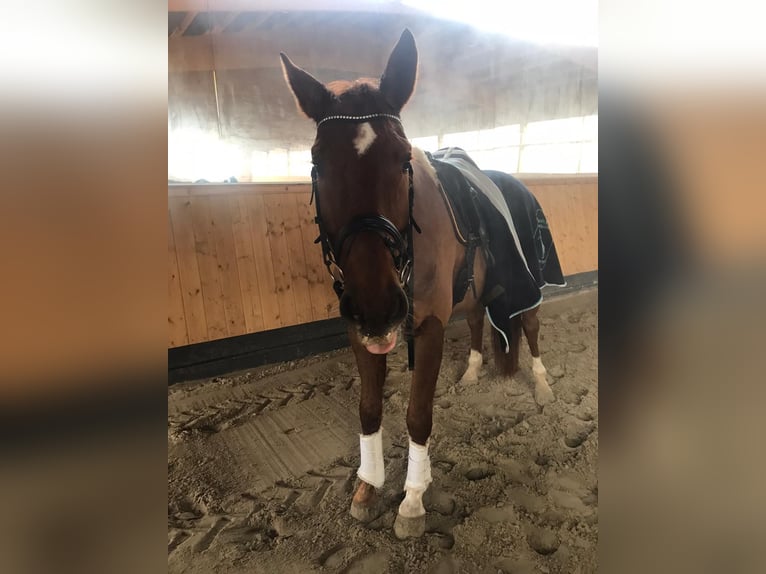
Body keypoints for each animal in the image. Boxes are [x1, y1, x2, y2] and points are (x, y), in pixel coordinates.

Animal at [280, 29, 558, 539]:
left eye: (402, 159)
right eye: (317, 161)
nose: (376, 303)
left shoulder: (428, 327)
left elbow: (417, 415)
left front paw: (412, 500)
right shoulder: (361, 330)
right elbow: (370, 410)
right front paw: (368, 487)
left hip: (528, 289)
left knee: (529, 330)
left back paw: (544, 385)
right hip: (472, 294)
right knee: (477, 322)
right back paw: (470, 373)